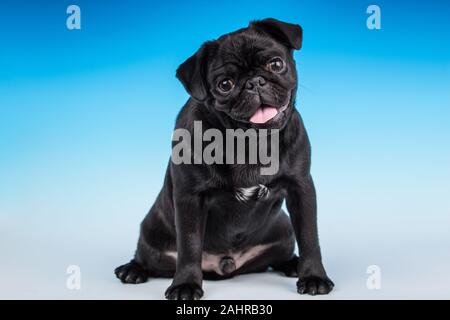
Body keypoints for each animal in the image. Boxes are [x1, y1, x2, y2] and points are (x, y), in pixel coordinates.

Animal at [116, 18, 334, 300]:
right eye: (225, 84)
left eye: (276, 64)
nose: (254, 82)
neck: (249, 140)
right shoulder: (190, 198)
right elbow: (189, 245)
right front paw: (185, 284)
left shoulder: (301, 188)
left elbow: (309, 236)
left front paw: (314, 275)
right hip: (150, 234)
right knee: (147, 257)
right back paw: (132, 269)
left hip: (284, 230)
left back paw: (292, 264)